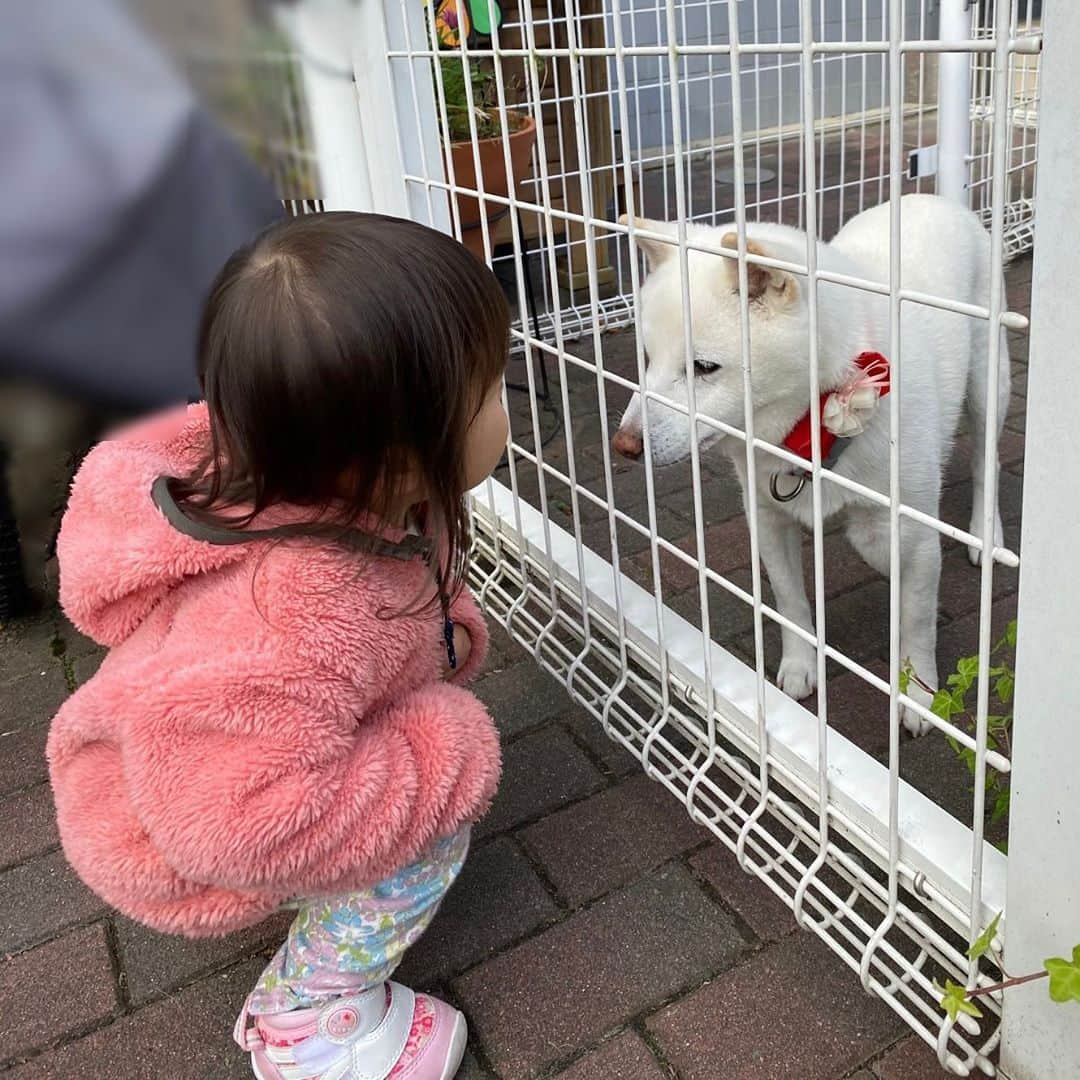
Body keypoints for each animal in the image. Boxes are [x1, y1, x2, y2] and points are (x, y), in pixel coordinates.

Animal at [617, 194, 1010, 734]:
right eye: (647, 359)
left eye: (703, 367)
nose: (624, 444)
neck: (813, 431)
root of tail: (934, 198)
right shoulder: (766, 519)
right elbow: (790, 604)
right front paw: (801, 667)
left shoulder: (910, 537)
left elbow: (915, 621)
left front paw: (918, 696)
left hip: (988, 389)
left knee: (986, 464)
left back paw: (984, 535)